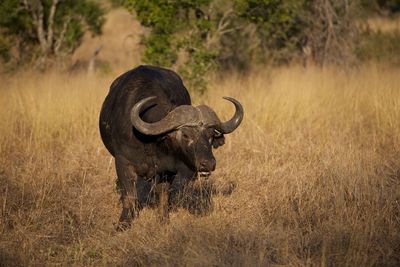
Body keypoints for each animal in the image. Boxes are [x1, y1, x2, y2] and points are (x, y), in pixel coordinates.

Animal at [100, 65, 244, 230]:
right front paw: (123, 224)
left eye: (210, 136)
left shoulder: (166, 170)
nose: (208, 164)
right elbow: (129, 195)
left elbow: (163, 194)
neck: (150, 142)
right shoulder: (123, 163)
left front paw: (163, 220)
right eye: (186, 135)